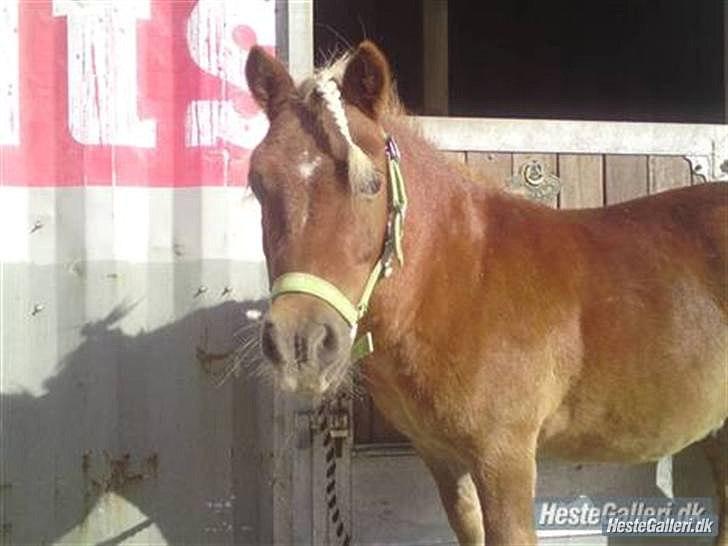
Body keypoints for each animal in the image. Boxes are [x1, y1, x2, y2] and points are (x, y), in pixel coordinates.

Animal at [245, 40, 728, 540]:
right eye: (258, 180)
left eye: (372, 183)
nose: (300, 342)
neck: (461, 280)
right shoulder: (442, 457)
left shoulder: (504, 458)